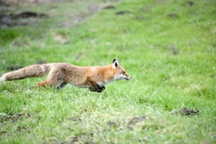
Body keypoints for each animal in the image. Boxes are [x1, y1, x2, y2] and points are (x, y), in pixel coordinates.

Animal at [0, 58, 132, 91]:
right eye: (124, 72)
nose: (130, 76)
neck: (104, 74)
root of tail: (55, 63)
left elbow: (101, 88)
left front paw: (95, 90)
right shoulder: (90, 78)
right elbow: (96, 87)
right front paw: (95, 90)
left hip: (59, 85)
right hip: (52, 83)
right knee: (39, 84)